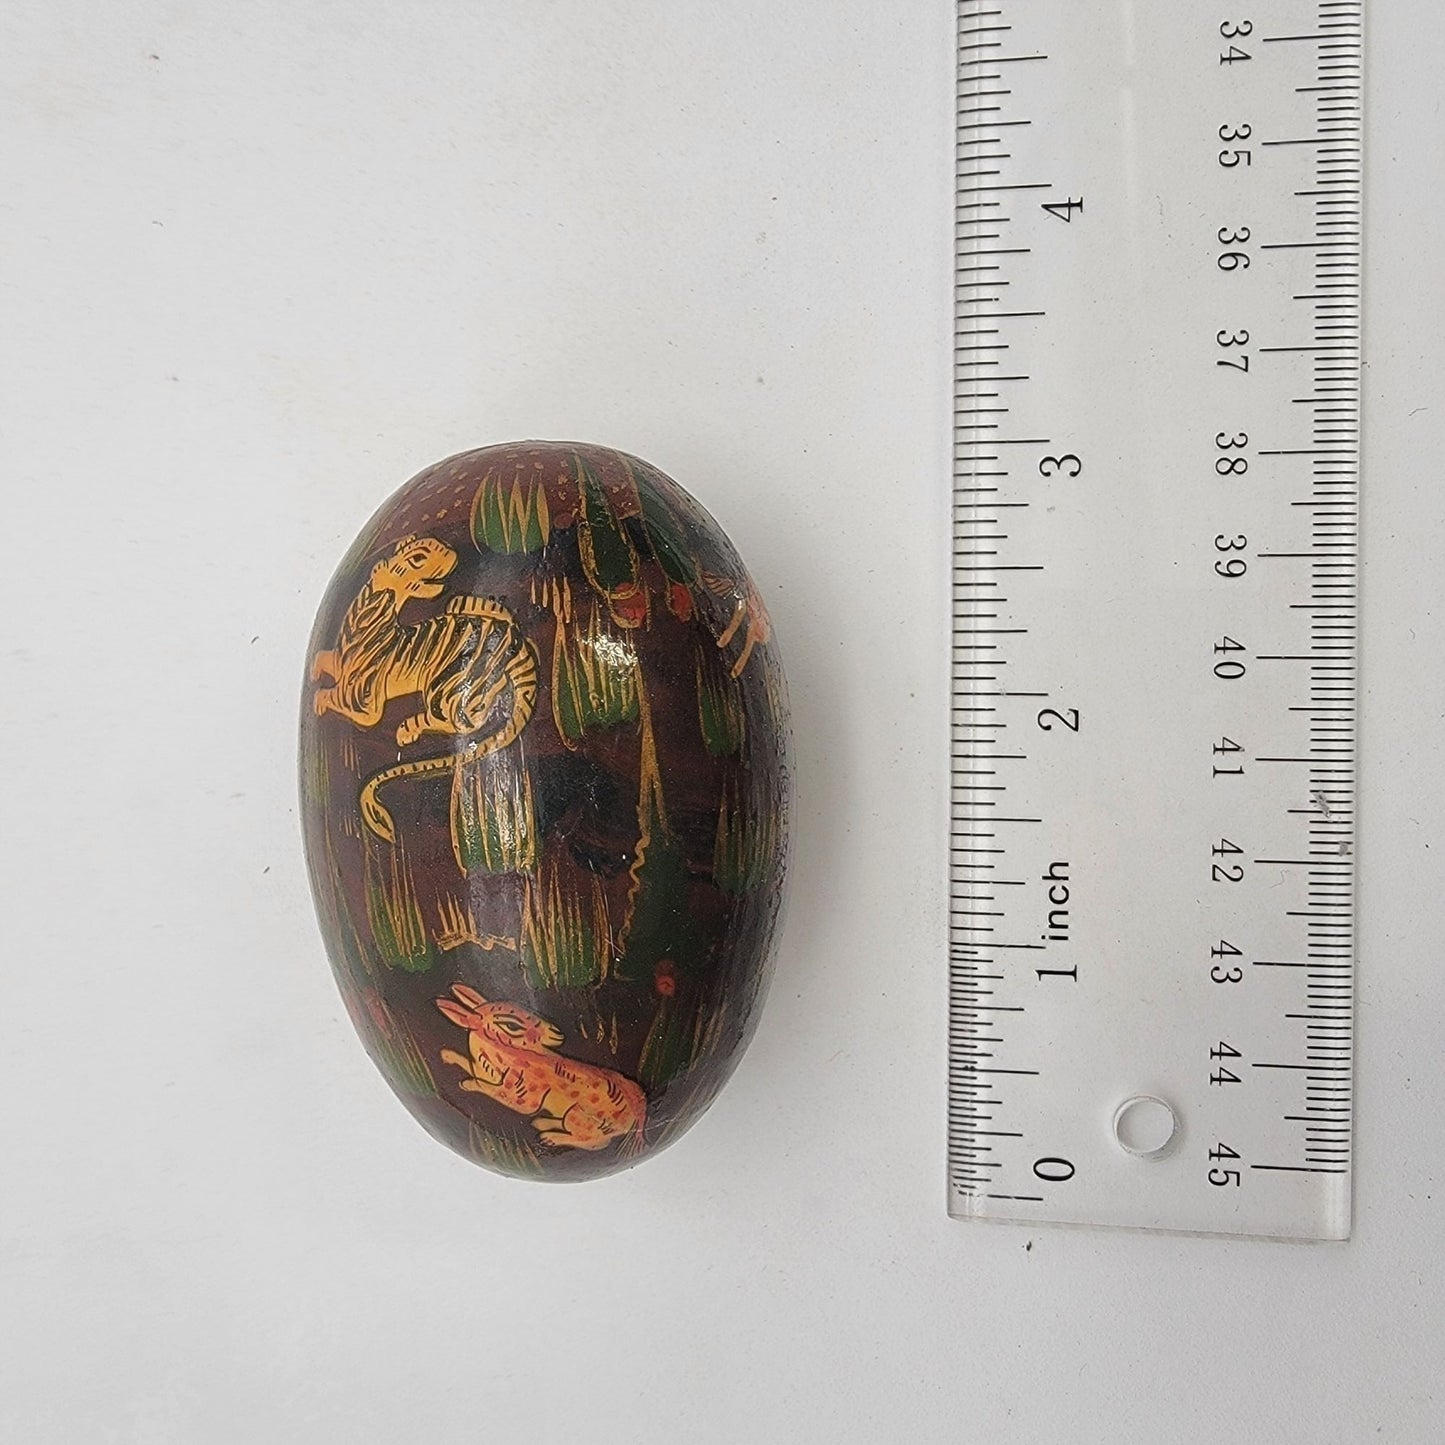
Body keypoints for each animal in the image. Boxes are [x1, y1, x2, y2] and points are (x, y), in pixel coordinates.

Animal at [311, 535, 539, 843]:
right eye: (417, 556)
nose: (446, 549)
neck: (365, 623)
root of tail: (519, 645)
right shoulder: (341, 663)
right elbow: (324, 660)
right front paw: (317, 675)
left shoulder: (367, 703)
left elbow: (336, 697)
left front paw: (321, 699)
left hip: (446, 682)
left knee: (462, 721)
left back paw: (410, 727)